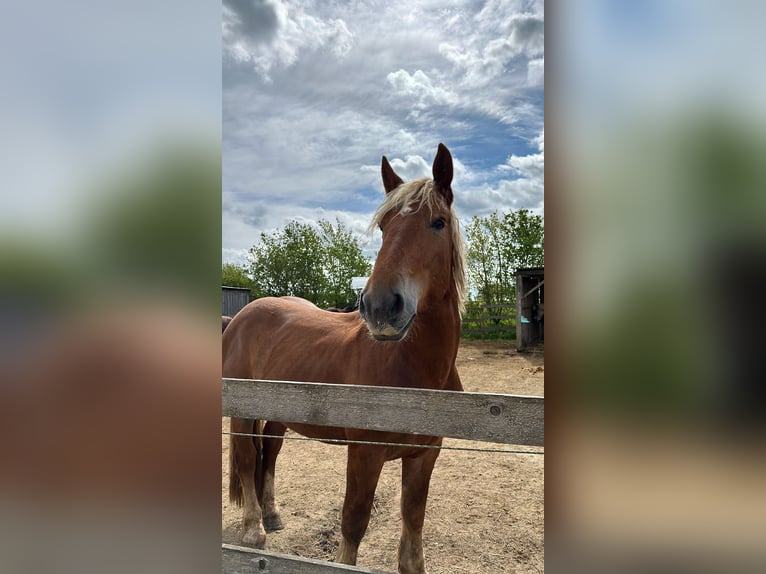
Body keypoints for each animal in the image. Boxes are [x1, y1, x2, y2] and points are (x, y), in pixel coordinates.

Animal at [222, 145, 468, 574]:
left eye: (437, 223)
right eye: (384, 226)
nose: (380, 306)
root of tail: (243, 314)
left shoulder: (425, 456)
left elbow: (413, 521)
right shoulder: (365, 453)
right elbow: (354, 521)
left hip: (279, 413)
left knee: (269, 452)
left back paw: (272, 515)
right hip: (241, 411)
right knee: (247, 459)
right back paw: (254, 529)